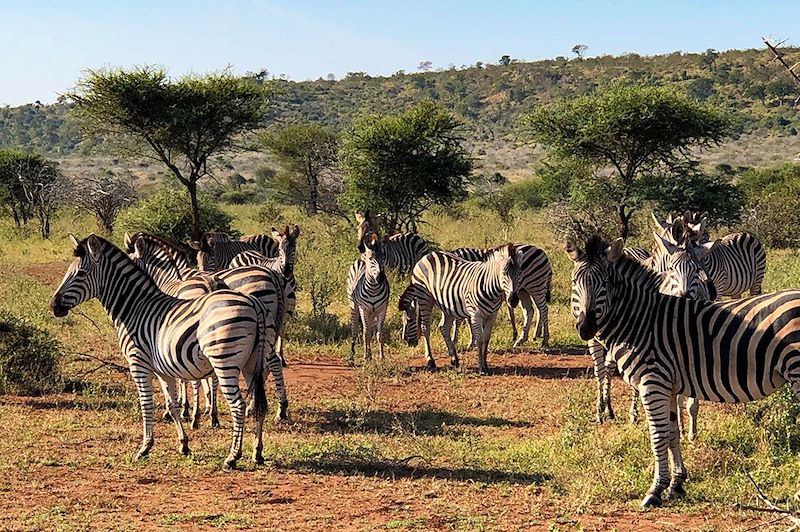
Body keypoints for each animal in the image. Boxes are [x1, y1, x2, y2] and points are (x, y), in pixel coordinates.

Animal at [47, 235, 284, 468]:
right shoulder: (162, 369)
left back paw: (232, 457)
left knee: (238, 405)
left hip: (224, 361)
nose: (53, 306)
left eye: (80, 274)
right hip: (253, 362)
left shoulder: (138, 363)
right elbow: (173, 404)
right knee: (259, 404)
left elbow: (147, 404)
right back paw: (257, 453)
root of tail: (253, 303)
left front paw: (144, 448)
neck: (133, 308)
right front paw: (184, 445)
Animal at [346, 234, 390, 366]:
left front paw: (381, 357)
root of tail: (361, 259)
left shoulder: (382, 310)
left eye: (383, 258)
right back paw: (352, 357)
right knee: (355, 329)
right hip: (354, 306)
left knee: (369, 329)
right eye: (371, 258)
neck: (374, 288)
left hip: (371, 312)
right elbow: (366, 334)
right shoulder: (364, 309)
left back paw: (370, 355)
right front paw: (365, 357)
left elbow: (379, 334)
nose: (381, 278)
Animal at [398, 245, 520, 374]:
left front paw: (485, 365)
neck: (490, 288)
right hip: (425, 298)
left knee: (444, 327)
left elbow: (486, 339)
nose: (513, 300)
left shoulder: (492, 315)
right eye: (504, 273)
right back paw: (431, 361)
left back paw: (454, 359)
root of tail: (427, 255)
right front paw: (481, 367)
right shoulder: (475, 314)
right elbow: (479, 340)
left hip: (447, 303)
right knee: (425, 328)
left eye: (519, 273)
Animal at [564, 235, 800, 510]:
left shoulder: (652, 383)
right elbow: (672, 434)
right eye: (574, 282)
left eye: (604, 284)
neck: (640, 321)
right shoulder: (667, 386)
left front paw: (654, 490)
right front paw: (676, 484)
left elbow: (658, 437)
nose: (585, 328)